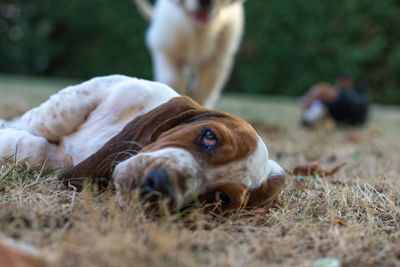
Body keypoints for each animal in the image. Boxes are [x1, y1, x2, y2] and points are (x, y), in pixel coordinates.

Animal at [1, 75, 286, 211]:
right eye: (209, 135)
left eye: (221, 198)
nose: (159, 186)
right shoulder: (107, 88)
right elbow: (48, 120)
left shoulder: (63, 158)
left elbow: (36, 149)